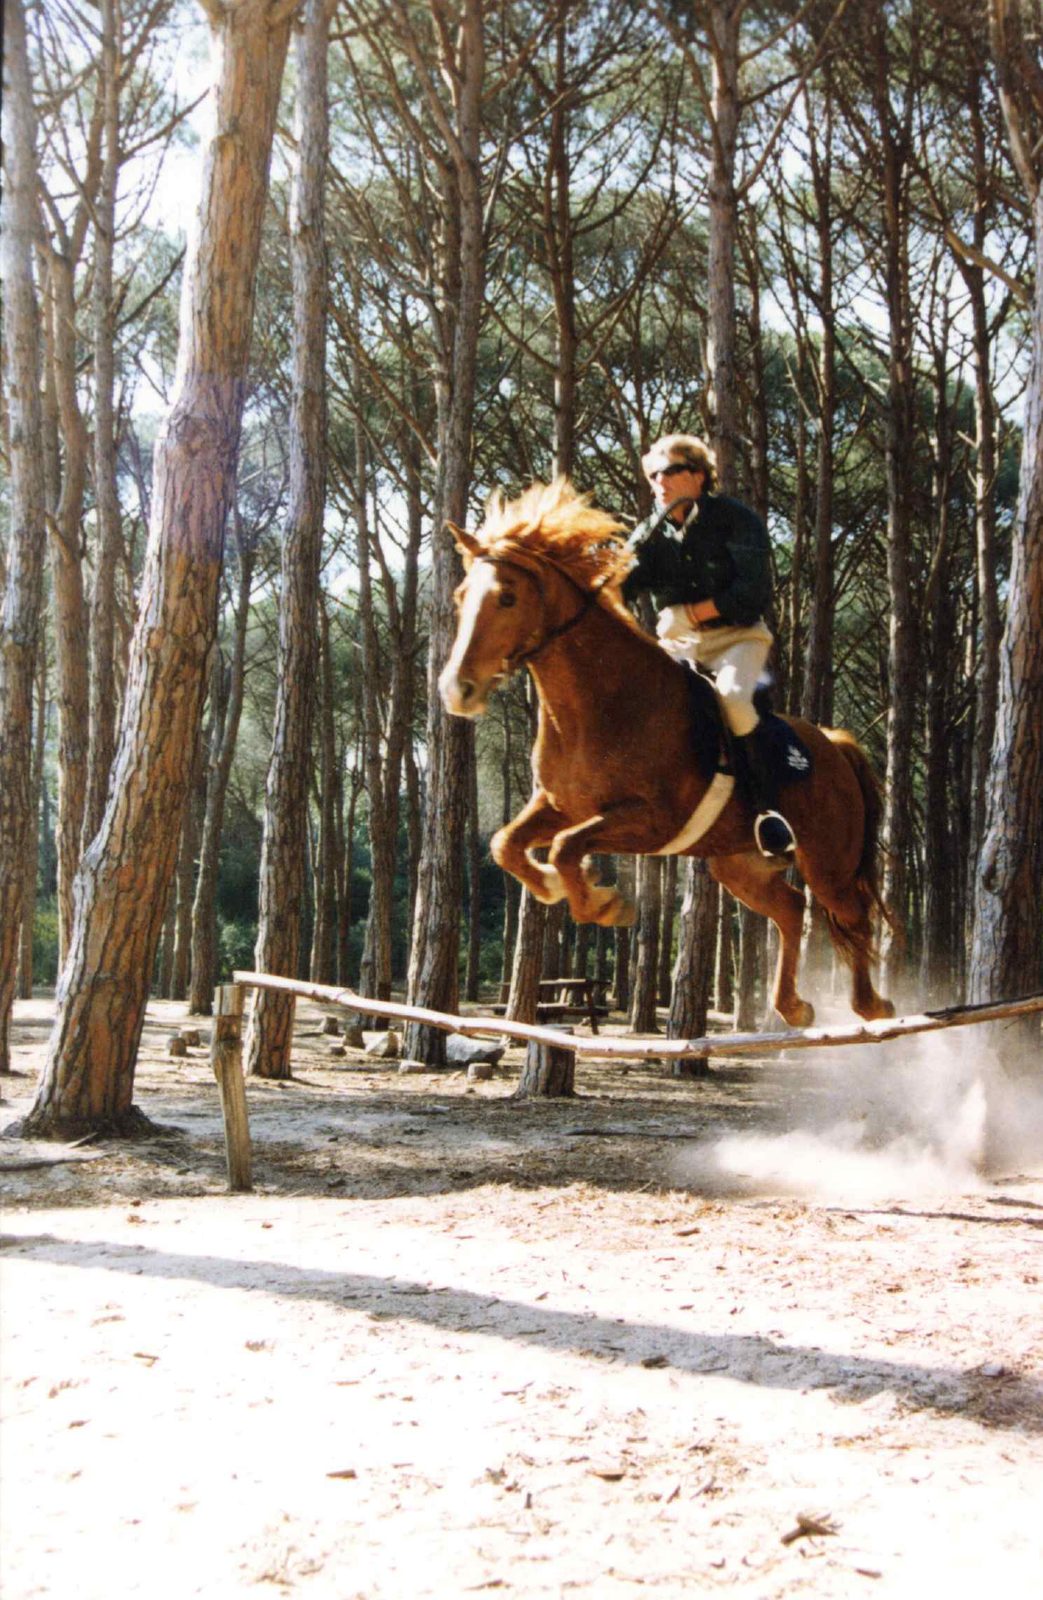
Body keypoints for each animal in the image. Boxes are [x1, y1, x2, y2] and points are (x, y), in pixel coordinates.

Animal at [439, 478, 895, 1028]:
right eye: (461, 596)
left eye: (507, 597)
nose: (456, 690)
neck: (598, 701)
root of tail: (835, 744)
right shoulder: (559, 805)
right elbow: (506, 843)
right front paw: (560, 887)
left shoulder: (652, 821)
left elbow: (567, 846)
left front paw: (604, 901)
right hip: (737, 864)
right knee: (790, 907)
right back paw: (794, 1006)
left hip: (827, 860)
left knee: (850, 914)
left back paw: (872, 1005)